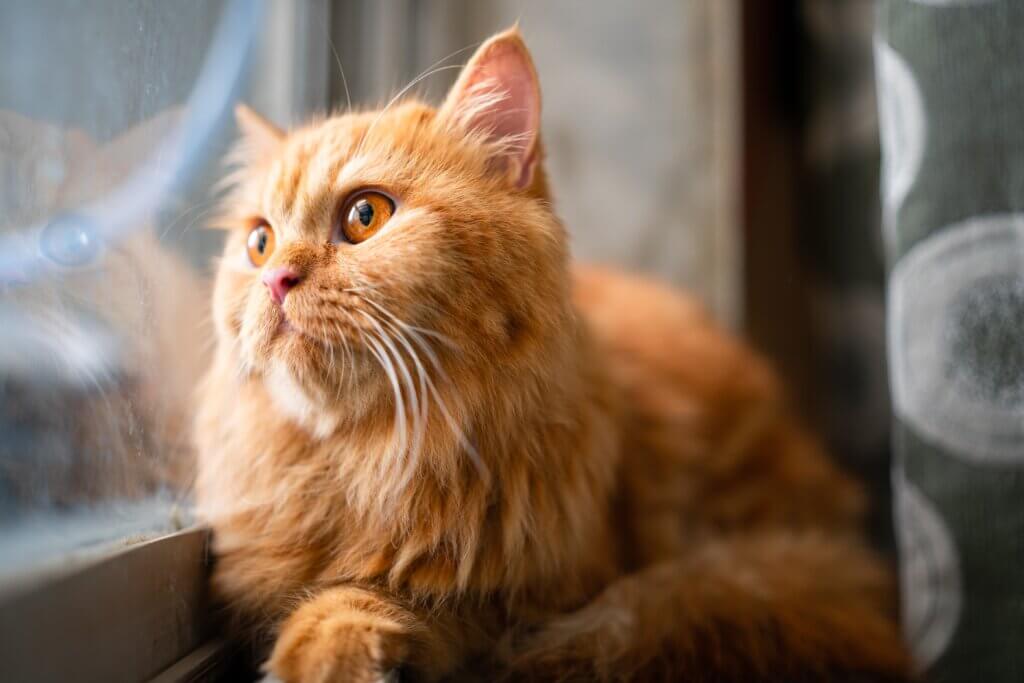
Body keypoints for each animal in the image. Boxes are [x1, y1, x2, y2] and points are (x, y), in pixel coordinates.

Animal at [193, 29, 913, 683]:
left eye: (365, 215)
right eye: (259, 242)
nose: (276, 278)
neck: (362, 462)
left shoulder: (528, 600)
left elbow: (387, 597)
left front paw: (329, 645)